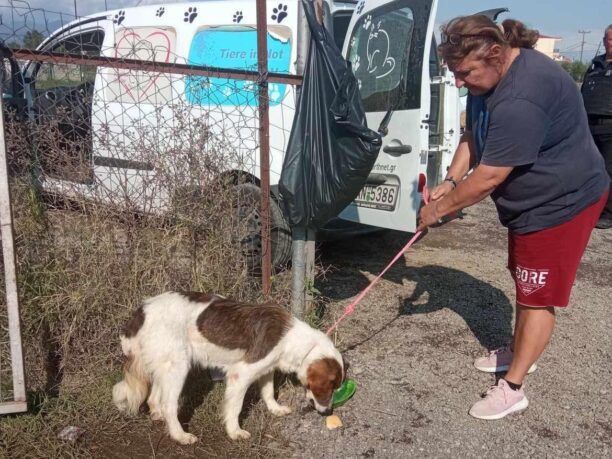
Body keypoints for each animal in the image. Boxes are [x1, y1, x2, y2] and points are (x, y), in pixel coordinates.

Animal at [111, 292, 344, 446]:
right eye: (330, 387)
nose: (328, 412)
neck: (293, 339)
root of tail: (142, 311)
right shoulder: (240, 374)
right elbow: (235, 408)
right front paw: (234, 432)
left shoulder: (266, 368)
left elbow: (268, 392)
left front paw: (275, 409)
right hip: (178, 366)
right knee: (169, 405)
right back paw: (180, 435)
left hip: (166, 365)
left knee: (154, 398)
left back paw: (158, 415)